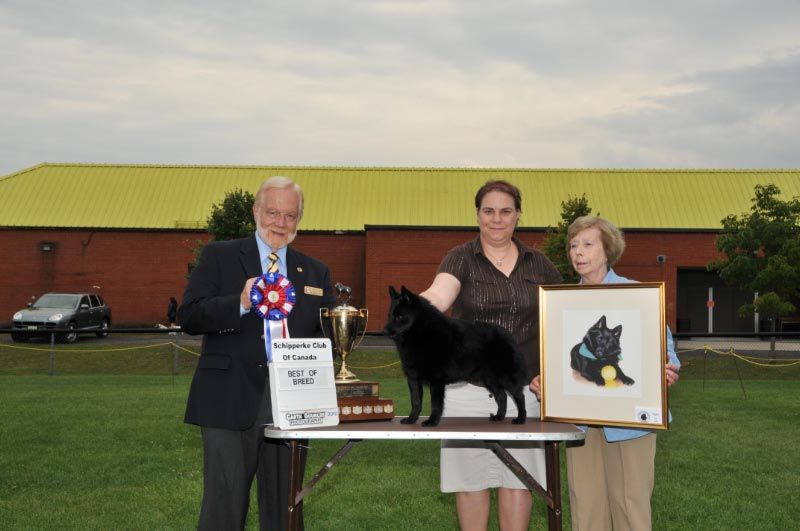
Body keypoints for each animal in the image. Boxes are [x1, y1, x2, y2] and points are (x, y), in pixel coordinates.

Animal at [384, 286, 528, 428]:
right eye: (389, 315)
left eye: (399, 316)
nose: (384, 331)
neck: (421, 332)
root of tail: (509, 336)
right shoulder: (413, 380)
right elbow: (415, 402)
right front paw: (411, 420)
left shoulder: (436, 381)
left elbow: (435, 404)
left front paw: (432, 421)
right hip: (490, 379)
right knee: (502, 396)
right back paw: (499, 417)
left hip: (506, 378)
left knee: (519, 396)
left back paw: (520, 419)